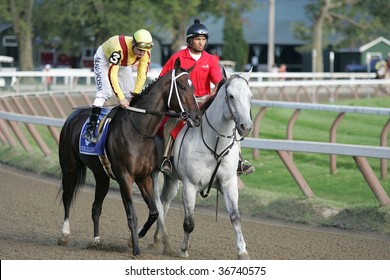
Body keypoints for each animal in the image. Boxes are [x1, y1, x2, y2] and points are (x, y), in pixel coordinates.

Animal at [59, 58, 203, 256]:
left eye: (193, 87)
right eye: (181, 86)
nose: (197, 117)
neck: (139, 131)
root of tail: (72, 116)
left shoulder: (144, 177)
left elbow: (154, 212)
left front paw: (135, 239)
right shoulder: (125, 177)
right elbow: (132, 215)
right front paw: (135, 249)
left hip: (101, 175)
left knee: (96, 207)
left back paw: (96, 240)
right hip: (70, 167)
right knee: (67, 197)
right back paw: (65, 234)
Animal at [152, 66, 253, 260]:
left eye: (250, 96)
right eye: (231, 96)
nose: (246, 126)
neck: (214, 143)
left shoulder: (228, 183)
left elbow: (235, 217)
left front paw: (243, 251)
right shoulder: (190, 186)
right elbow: (189, 222)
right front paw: (183, 250)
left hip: (171, 179)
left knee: (165, 202)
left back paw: (158, 239)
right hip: (152, 174)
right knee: (157, 204)